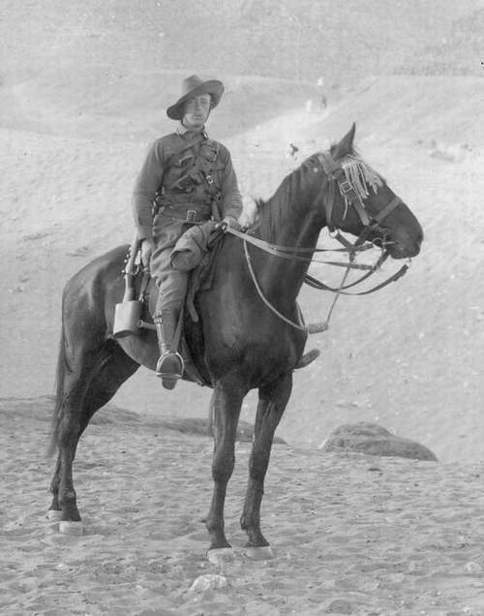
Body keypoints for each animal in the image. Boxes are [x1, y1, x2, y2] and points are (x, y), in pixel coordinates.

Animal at [47, 124, 422, 560]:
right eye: (361, 186)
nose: (416, 236)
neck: (263, 281)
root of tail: (80, 278)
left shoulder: (278, 386)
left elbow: (260, 458)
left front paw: (255, 536)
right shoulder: (230, 386)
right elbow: (223, 460)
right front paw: (218, 539)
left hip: (114, 369)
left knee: (77, 423)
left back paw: (57, 504)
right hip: (82, 361)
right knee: (68, 425)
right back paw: (68, 513)